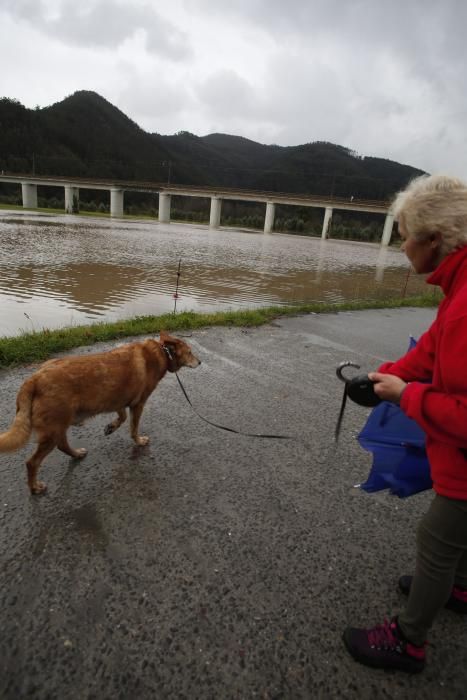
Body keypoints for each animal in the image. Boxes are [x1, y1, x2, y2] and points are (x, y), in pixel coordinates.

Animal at [0, 332, 199, 492]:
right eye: (190, 352)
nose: (200, 361)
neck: (162, 352)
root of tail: (34, 379)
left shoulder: (119, 399)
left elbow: (122, 417)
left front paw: (111, 427)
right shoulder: (138, 404)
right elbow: (133, 427)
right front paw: (139, 440)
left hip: (58, 426)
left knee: (62, 445)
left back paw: (76, 454)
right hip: (53, 430)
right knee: (32, 462)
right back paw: (34, 487)